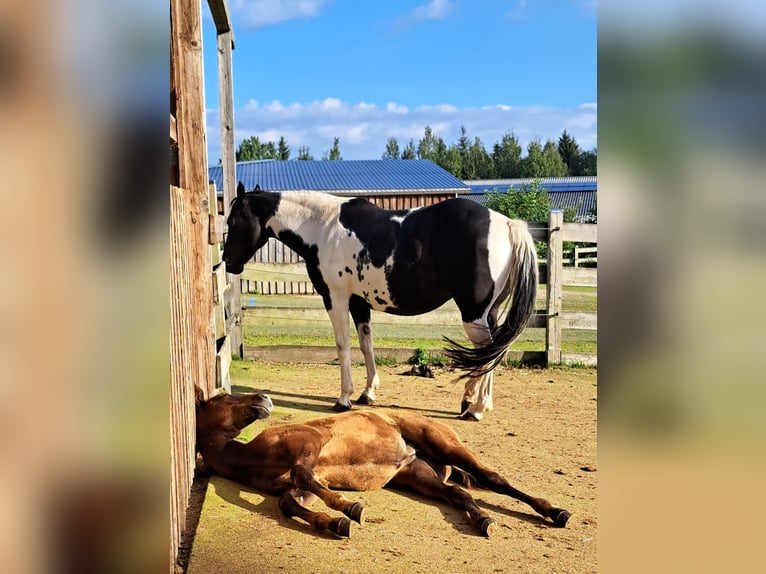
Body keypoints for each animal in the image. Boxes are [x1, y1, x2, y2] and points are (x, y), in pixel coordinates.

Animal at [195, 392, 572, 540]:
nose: (263, 398)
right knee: (457, 494)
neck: (253, 456)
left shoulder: (310, 447)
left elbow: (301, 476)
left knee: (493, 479)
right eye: (221, 398)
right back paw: (483, 520)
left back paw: (555, 512)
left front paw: (350, 507)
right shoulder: (308, 485)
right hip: (419, 476)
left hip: (446, 446)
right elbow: (289, 502)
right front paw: (333, 523)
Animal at [224, 184, 540, 424]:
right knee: (489, 353)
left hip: (473, 313)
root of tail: (507, 224)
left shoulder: (336, 299)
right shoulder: (358, 304)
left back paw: (476, 408)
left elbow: (343, 346)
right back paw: (470, 400)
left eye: (233, 222)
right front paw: (368, 393)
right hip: (487, 312)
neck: (322, 227)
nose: (227, 262)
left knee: (489, 354)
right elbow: (367, 346)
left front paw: (344, 398)